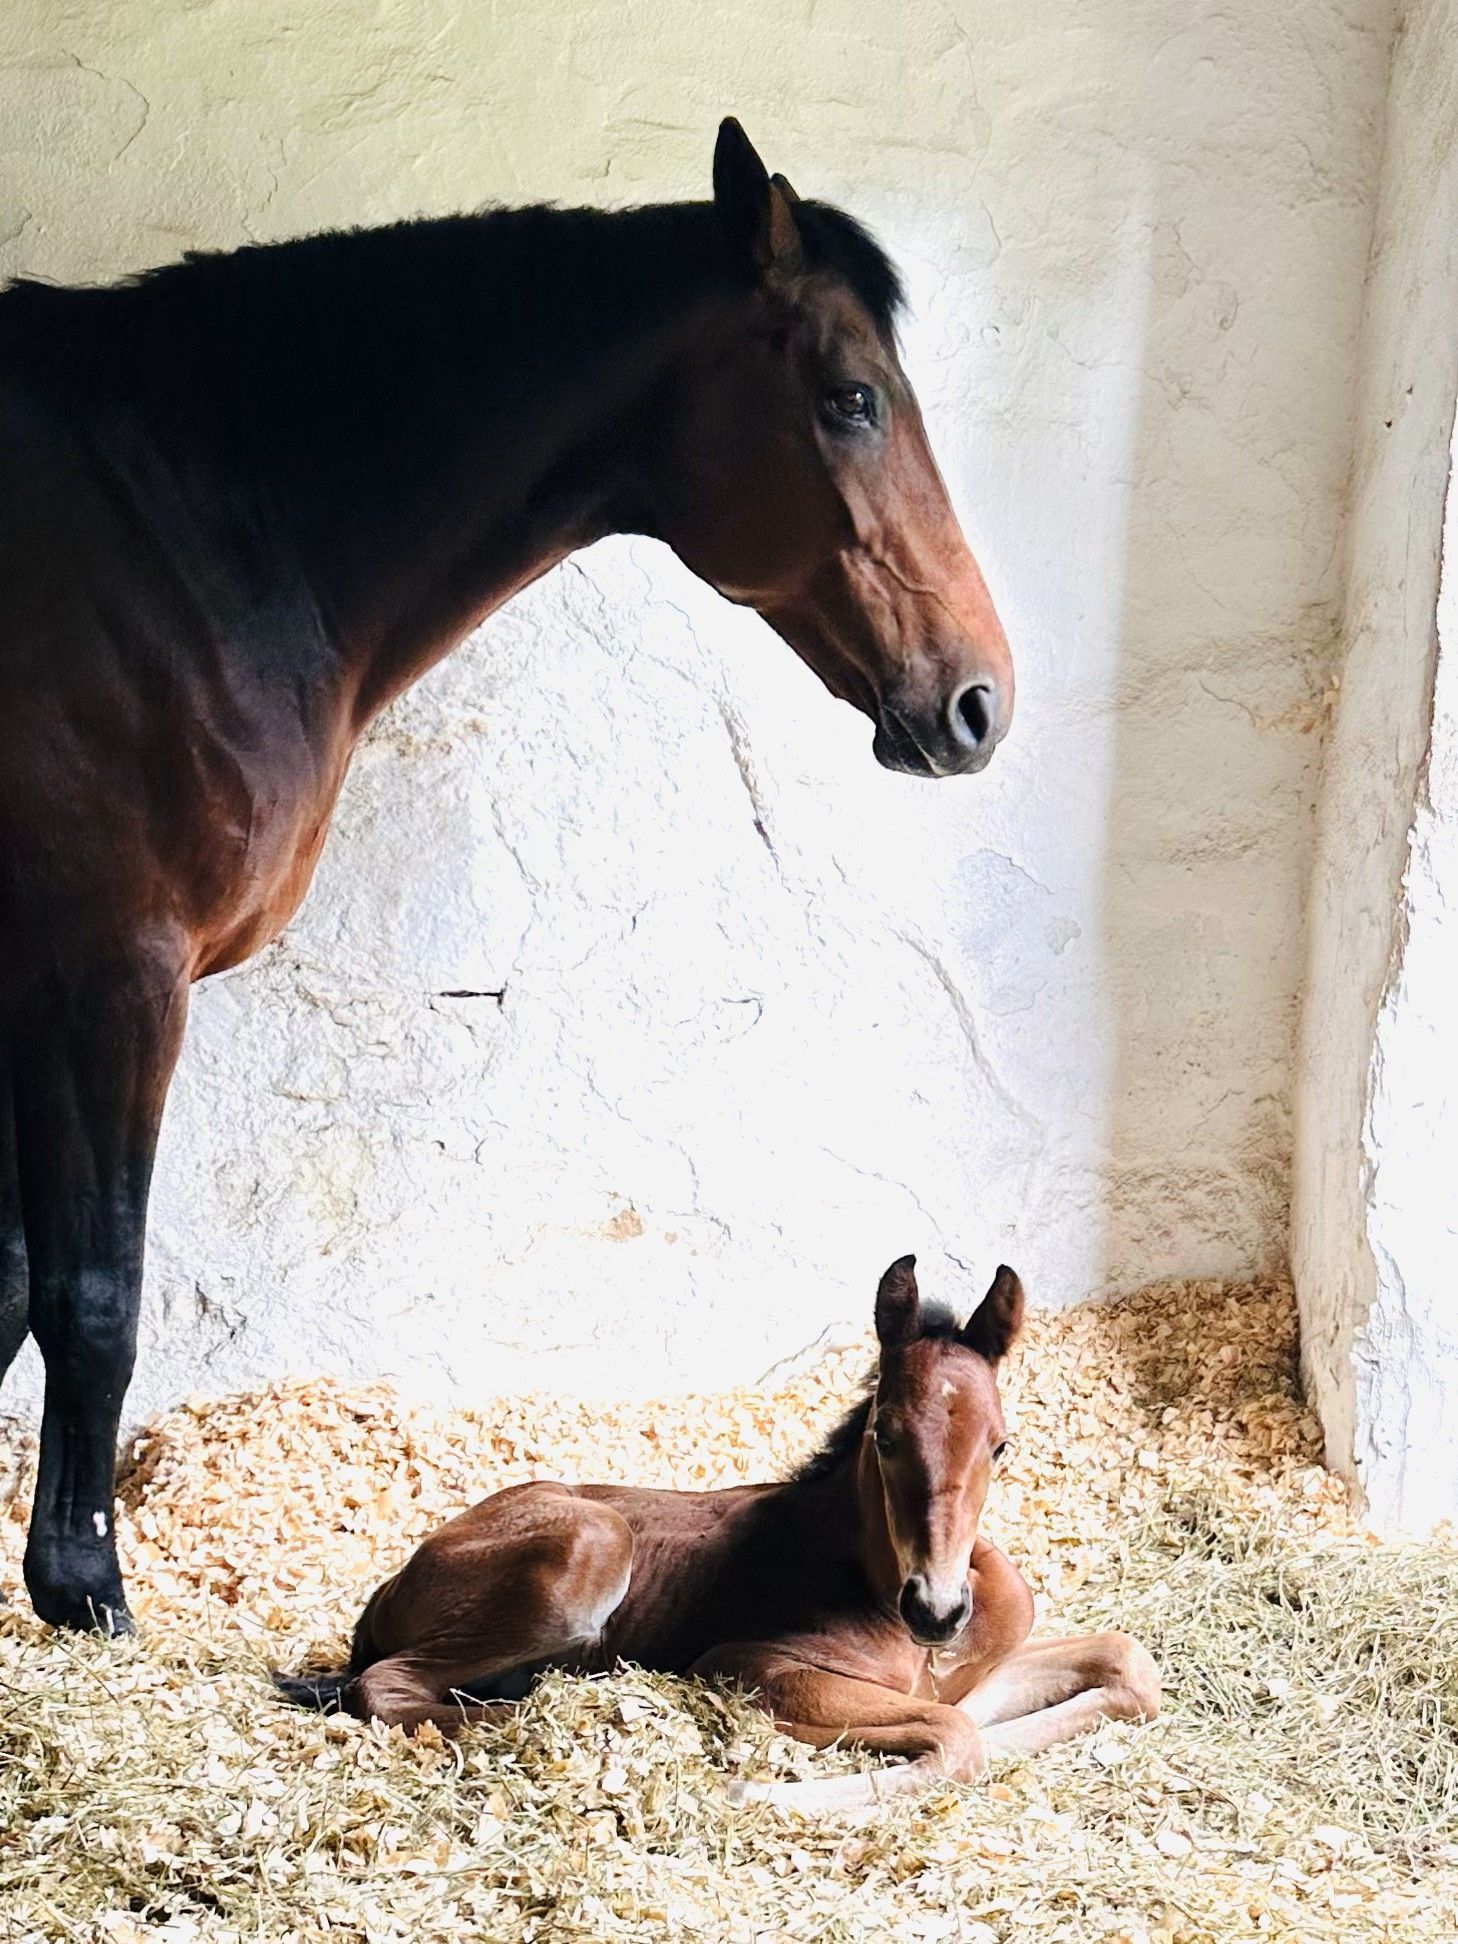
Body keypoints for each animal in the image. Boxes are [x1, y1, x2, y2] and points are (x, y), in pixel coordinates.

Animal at [0, 119, 1014, 1634]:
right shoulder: (109, 977)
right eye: (851, 398)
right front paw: (80, 1583)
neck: (186, 538)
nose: (977, 702)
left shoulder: (27, 981)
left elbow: (9, 1280)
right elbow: (89, 1291)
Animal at [275, 1258, 1159, 1812]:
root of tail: (394, 1581)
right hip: (590, 1543)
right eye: (884, 1434)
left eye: (1001, 1444)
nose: (936, 1611)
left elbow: (1122, 1666)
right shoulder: (745, 1665)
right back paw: (573, 1717)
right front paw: (751, 1790)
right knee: (383, 1685)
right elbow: (958, 1735)